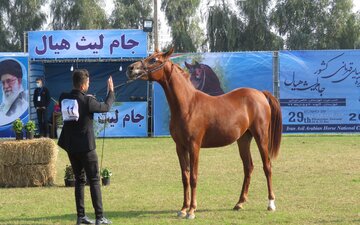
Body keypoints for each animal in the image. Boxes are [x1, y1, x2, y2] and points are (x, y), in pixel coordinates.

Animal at [126, 48, 282, 219]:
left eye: (154, 60)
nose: (131, 68)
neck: (188, 105)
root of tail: (260, 94)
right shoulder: (180, 147)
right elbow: (185, 177)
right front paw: (183, 209)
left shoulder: (194, 146)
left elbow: (193, 177)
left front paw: (192, 210)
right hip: (243, 139)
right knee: (248, 167)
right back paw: (239, 203)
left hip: (261, 137)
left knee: (267, 166)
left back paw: (271, 204)